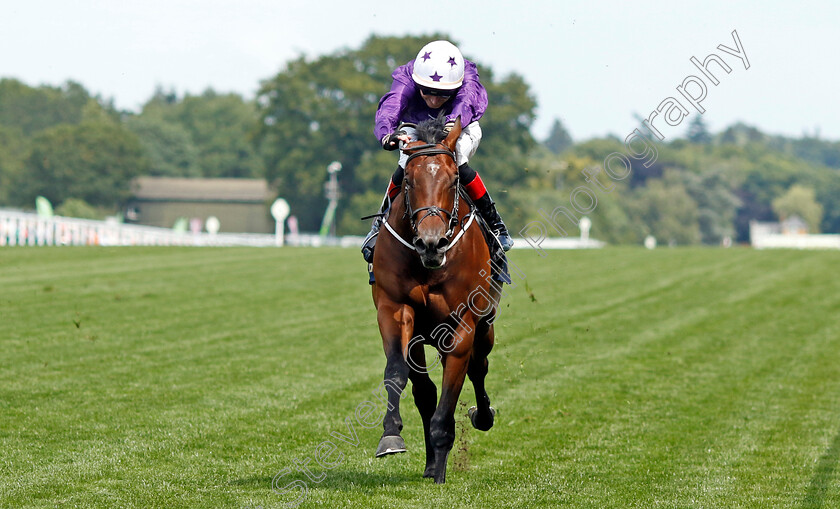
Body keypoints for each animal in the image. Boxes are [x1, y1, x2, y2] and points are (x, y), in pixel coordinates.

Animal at [370, 116, 498, 484]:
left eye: (454, 179)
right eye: (408, 181)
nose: (431, 243)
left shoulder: (462, 325)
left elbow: (451, 393)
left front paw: (441, 463)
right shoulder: (394, 309)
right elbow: (396, 371)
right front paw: (391, 436)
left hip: (485, 326)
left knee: (479, 367)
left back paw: (482, 417)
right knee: (424, 391)